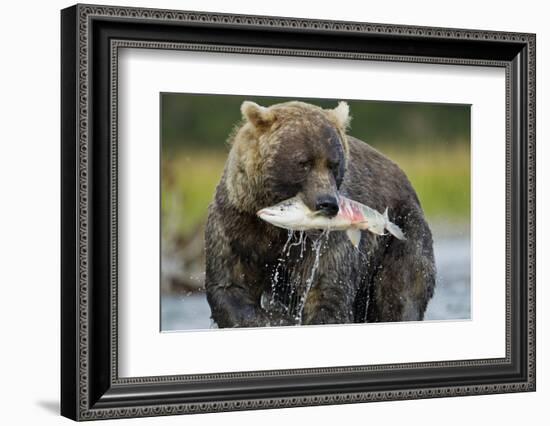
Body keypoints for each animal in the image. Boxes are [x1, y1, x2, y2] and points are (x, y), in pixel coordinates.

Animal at [205, 101, 438, 328]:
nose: (327, 203)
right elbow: (231, 286)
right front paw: (276, 318)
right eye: (303, 163)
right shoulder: (236, 223)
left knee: (400, 290)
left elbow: (327, 290)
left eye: (333, 164)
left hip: (402, 231)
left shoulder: (326, 241)